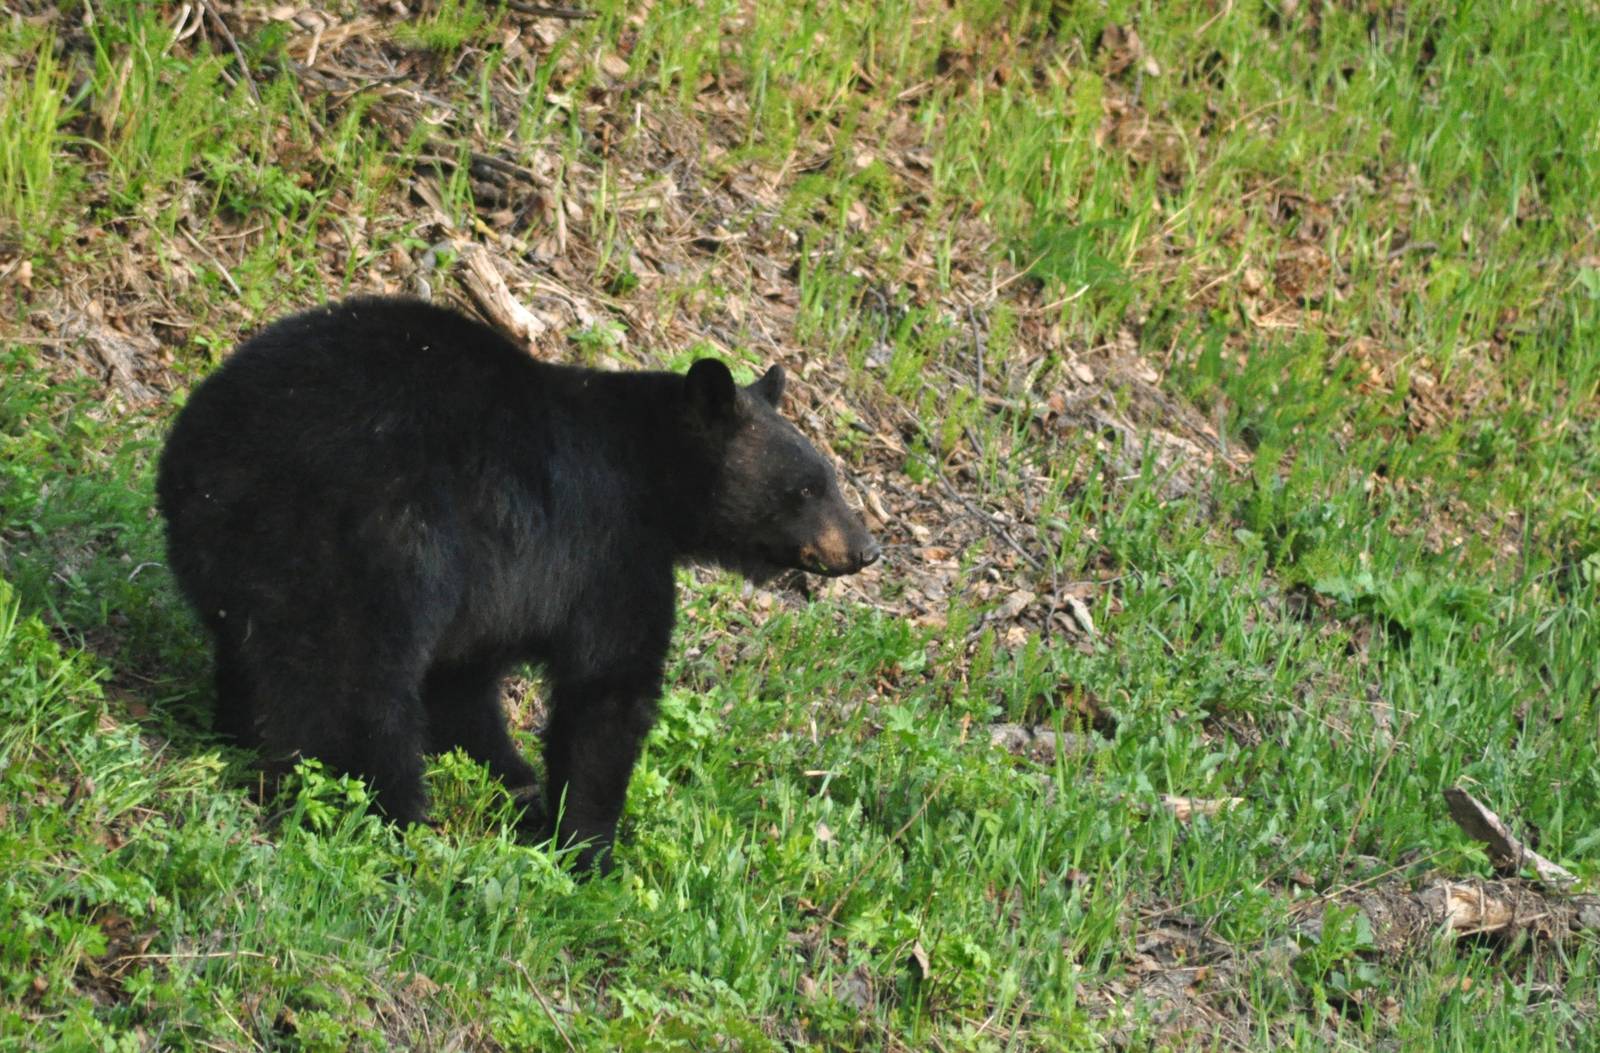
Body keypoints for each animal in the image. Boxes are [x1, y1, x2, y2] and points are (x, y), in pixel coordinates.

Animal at [156, 296, 878, 871]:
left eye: (830, 479)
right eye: (807, 488)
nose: (866, 549)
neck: (652, 474)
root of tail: (242, 457)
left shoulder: (499, 584)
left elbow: (462, 679)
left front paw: (516, 785)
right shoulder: (602, 551)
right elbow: (607, 688)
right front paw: (588, 846)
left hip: (221, 540)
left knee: (254, 647)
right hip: (378, 540)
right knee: (356, 681)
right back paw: (393, 809)